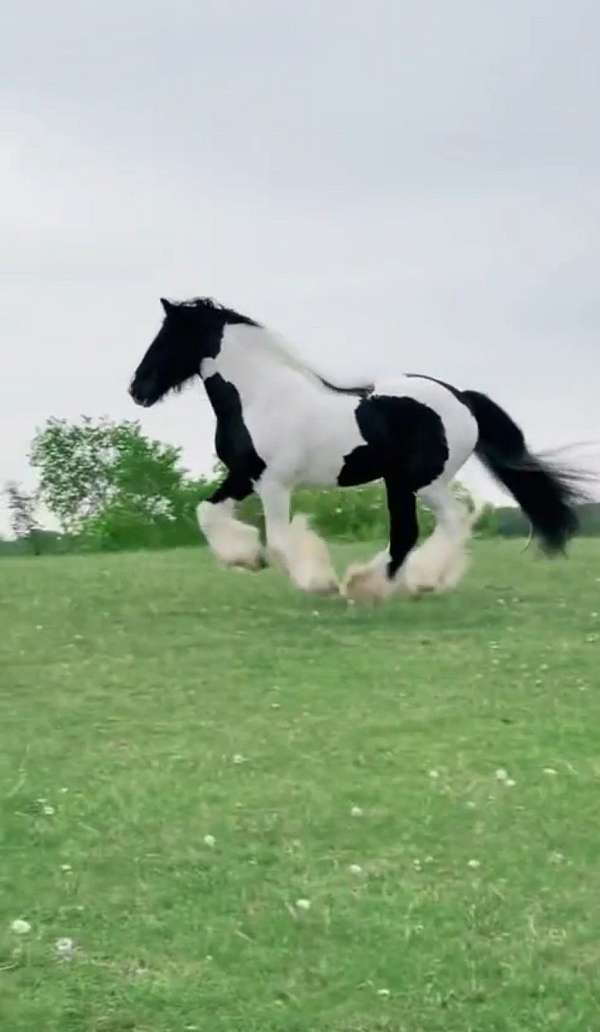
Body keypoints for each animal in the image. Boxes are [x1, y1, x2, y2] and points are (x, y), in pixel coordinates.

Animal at [129, 297, 586, 603]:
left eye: (168, 339)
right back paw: (372, 585)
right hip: (400, 481)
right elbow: (207, 514)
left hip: (425, 480)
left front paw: (317, 582)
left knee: (451, 520)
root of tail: (460, 397)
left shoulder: (274, 483)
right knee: (408, 532)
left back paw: (410, 581)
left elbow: (278, 538)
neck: (259, 396)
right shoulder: (244, 476)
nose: (137, 390)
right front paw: (247, 558)